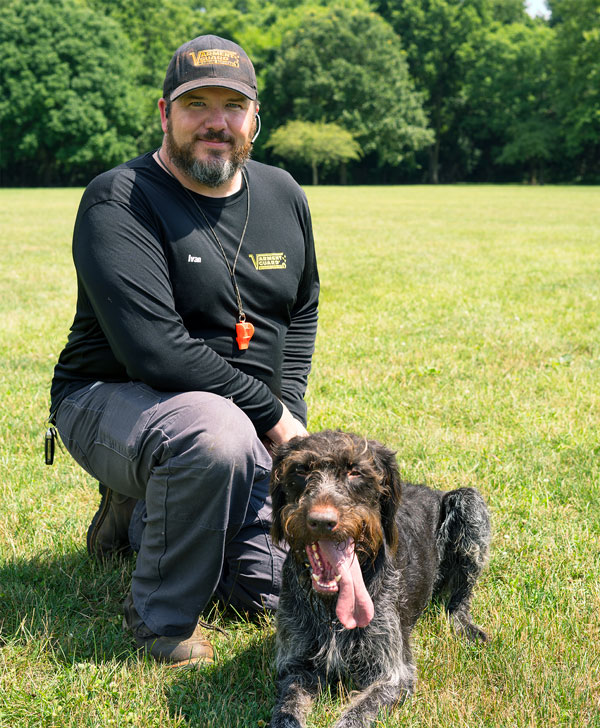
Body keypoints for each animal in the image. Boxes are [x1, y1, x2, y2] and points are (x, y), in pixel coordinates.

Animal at [270, 430, 490, 728]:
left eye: (355, 472)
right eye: (301, 469)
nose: (322, 521)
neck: (332, 609)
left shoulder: (392, 675)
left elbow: (355, 716)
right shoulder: (296, 667)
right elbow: (287, 709)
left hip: (469, 504)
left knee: (461, 596)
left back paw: (464, 626)